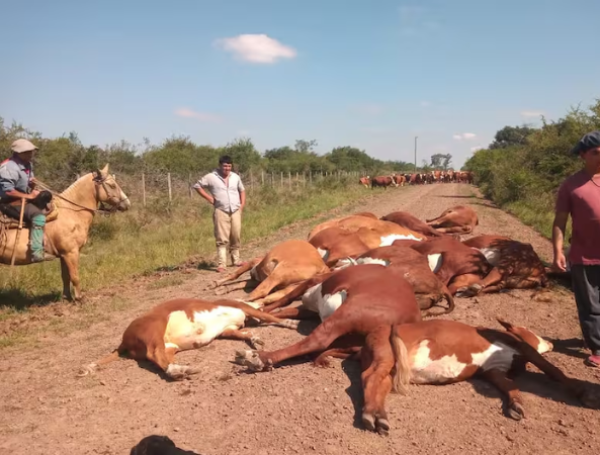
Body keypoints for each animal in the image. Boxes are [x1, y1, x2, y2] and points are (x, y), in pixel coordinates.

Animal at [0, 165, 131, 302]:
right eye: (112, 185)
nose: (127, 203)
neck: (71, 212)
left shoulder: (63, 255)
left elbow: (65, 276)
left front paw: (66, 297)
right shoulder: (71, 252)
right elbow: (74, 276)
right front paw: (79, 298)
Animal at [232, 264, 420, 434]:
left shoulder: (310, 284)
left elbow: (282, 302)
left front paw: (252, 312)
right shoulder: (308, 309)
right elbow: (281, 311)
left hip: (348, 314)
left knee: (316, 341)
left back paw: (259, 358)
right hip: (375, 348)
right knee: (374, 375)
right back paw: (375, 413)